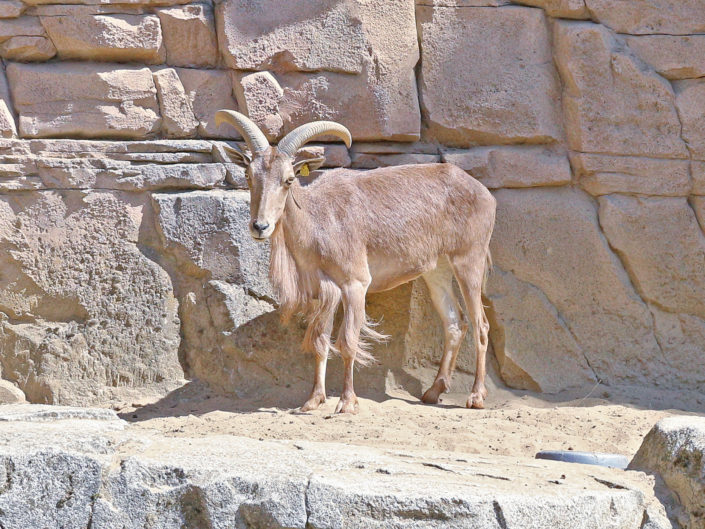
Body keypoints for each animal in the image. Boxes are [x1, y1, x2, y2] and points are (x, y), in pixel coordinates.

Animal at [215, 110, 496, 414]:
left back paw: (476, 396)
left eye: (289, 179)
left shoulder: (355, 284)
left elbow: (347, 342)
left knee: (480, 326)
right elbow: (320, 341)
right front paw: (313, 400)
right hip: (437, 270)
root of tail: (484, 192)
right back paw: (433, 392)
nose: (260, 226)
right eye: (248, 175)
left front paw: (347, 402)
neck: (318, 219)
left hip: (469, 260)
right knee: (455, 324)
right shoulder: (324, 291)